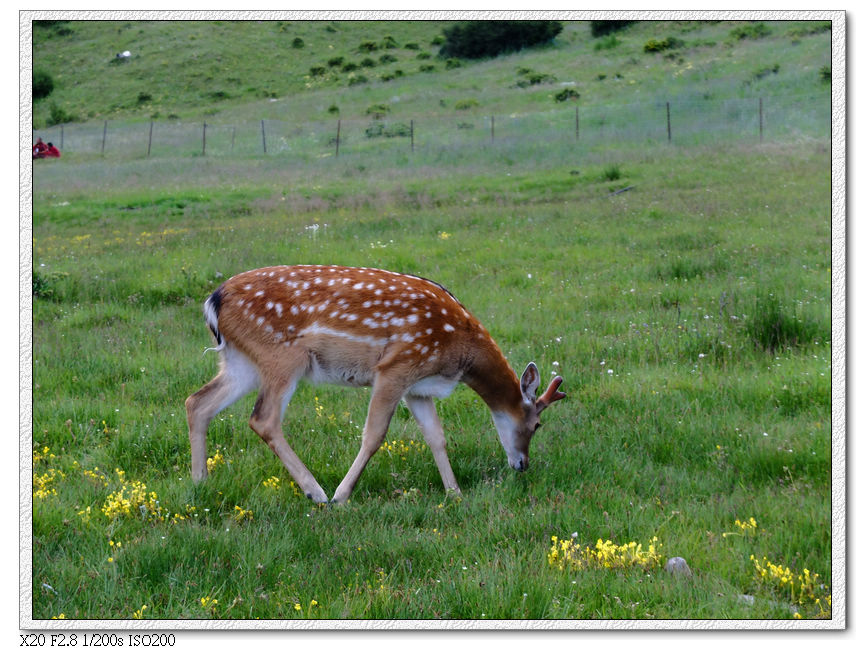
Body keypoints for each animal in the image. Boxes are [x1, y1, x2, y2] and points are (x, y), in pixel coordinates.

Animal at [185, 264, 564, 502]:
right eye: (537, 424)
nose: (523, 465)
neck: (459, 352)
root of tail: (213, 303)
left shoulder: (418, 387)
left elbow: (436, 437)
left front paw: (454, 493)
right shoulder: (396, 365)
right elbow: (375, 434)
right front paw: (342, 496)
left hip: (240, 362)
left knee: (197, 402)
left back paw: (200, 482)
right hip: (282, 357)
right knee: (263, 418)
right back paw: (317, 493)